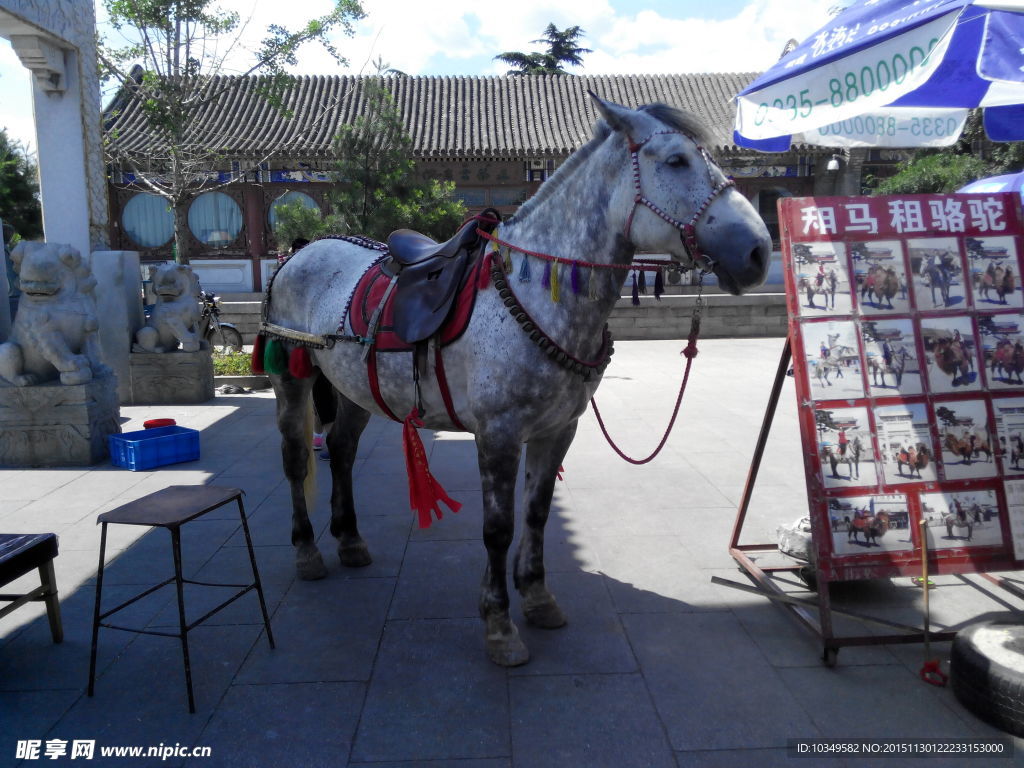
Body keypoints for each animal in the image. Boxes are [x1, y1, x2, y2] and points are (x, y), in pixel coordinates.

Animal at [264, 96, 770, 663]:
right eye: (677, 161)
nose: (758, 251)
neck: (538, 295)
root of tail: (301, 252)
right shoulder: (498, 434)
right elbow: (498, 529)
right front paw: (500, 625)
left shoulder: (558, 430)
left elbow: (537, 514)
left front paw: (537, 597)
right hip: (292, 380)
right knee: (297, 457)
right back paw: (308, 550)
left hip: (353, 388)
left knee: (343, 450)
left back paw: (350, 540)